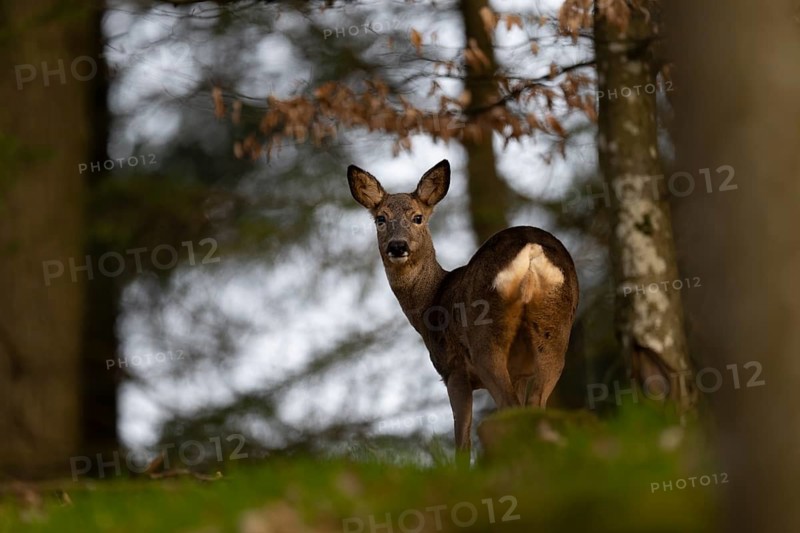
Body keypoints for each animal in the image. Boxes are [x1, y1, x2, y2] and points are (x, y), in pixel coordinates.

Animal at [347, 159, 579, 460]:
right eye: (380, 219)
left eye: (418, 217)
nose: (397, 246)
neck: (431, 300)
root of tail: (530, 251)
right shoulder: (518, 371)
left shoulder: (452, 368)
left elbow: (462, 440)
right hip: (554, 331)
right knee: (534, 405)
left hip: (484, 338)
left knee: (509, 406)